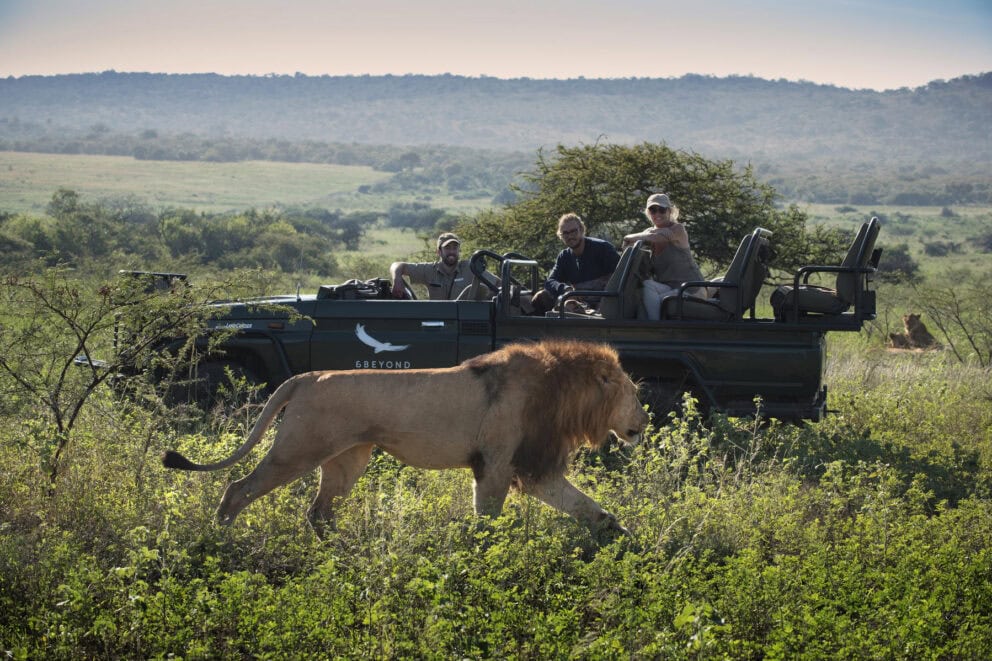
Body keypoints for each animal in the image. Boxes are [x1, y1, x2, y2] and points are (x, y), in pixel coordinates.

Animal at [162, 339, 650, 538]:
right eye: (635, 394)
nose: (644, 424)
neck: (563, 393)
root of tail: (307, 376)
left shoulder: (532, 468)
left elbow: (587, 506)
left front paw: (623, 536)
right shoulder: (496, 463)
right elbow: (488, 519)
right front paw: (486, 556)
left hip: (348, 460)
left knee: (318, 512)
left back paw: (340, 550)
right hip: (298, 450)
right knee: (238, 487)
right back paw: (217, 539)